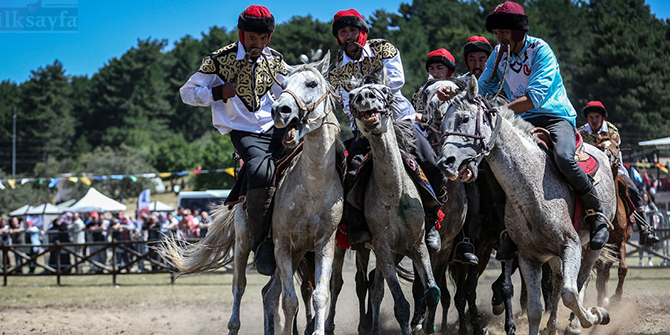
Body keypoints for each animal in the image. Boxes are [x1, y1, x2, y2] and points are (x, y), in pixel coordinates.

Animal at [352, 82, 440, 335]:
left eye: (382, 90)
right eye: (352, 96)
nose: (365, 97)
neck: (394, 192)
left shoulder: (417, 244)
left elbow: (432, 291)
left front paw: (427, 326)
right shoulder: (382, 247)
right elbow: (401, 304)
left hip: (398, 252)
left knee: (376, 287)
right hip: (370, 251)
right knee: (367, 286)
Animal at [438, 77, 616, 335]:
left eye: (464, 118)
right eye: (441, 124)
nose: (446, 162)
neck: (531, 191)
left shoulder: (570, 245)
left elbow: (571, 293)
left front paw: (595, 315)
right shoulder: (528, 256)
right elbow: (534, 308)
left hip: (592, 246)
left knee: (581, 278)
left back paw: (576, 323)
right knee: (558, 279)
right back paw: (552, 325)